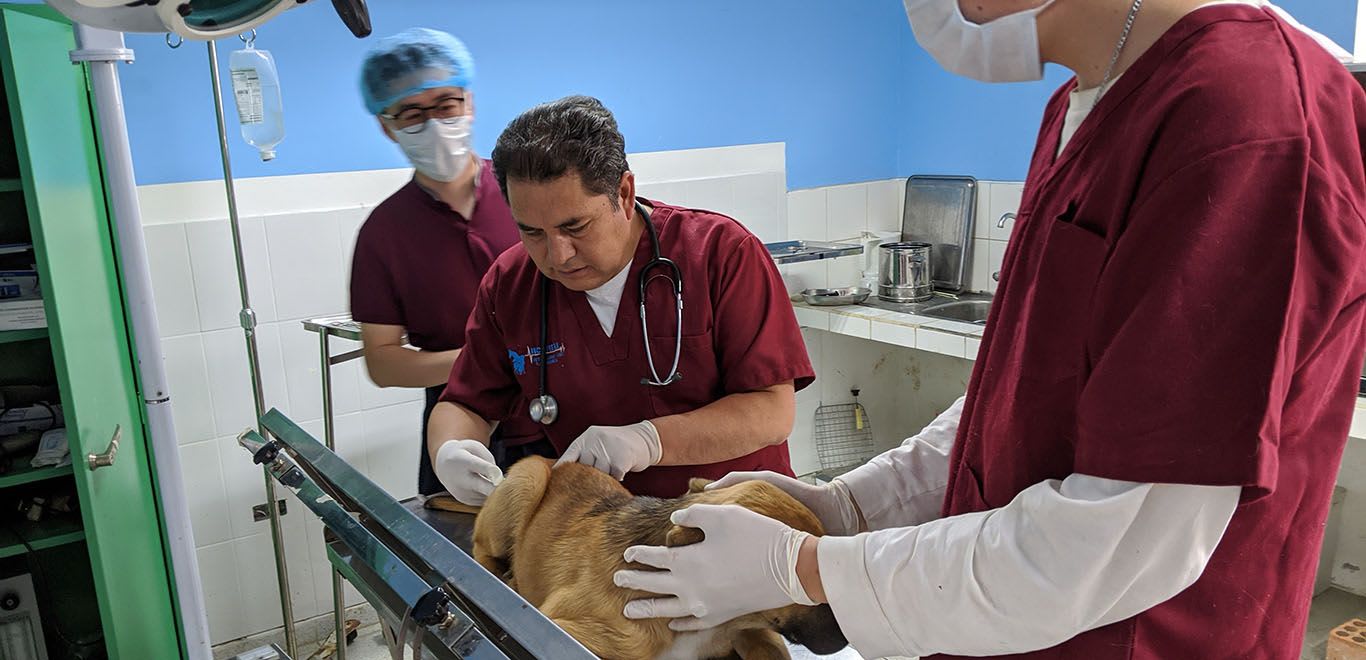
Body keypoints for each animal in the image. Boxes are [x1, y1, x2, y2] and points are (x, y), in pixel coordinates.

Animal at [475, 456, 846, 660]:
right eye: (800, 579)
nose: (846, 638)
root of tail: (557, 462)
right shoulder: (561, 628)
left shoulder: (754, 629)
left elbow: (772, 650)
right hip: (528, 478)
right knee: (480, 548)